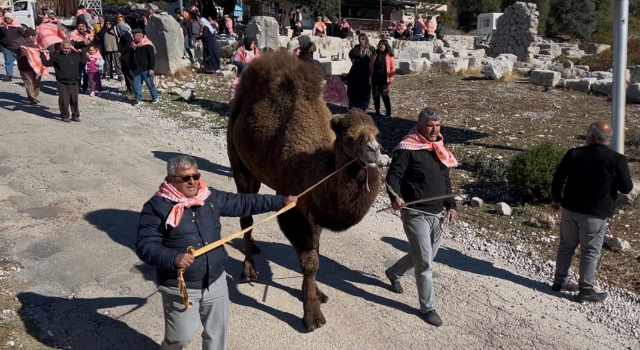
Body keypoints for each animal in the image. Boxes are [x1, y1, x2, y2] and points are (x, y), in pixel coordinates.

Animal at [228, 49, 382, 330]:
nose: (373, 151)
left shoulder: (314, 209)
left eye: (377, 134)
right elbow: (309, 261)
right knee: (246, 216)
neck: (317, 170)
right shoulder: (294, 206)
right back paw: (249, 270)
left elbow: (317, 251)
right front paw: (312, 315)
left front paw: (316, 294)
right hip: (239, 163)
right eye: (348, 138)